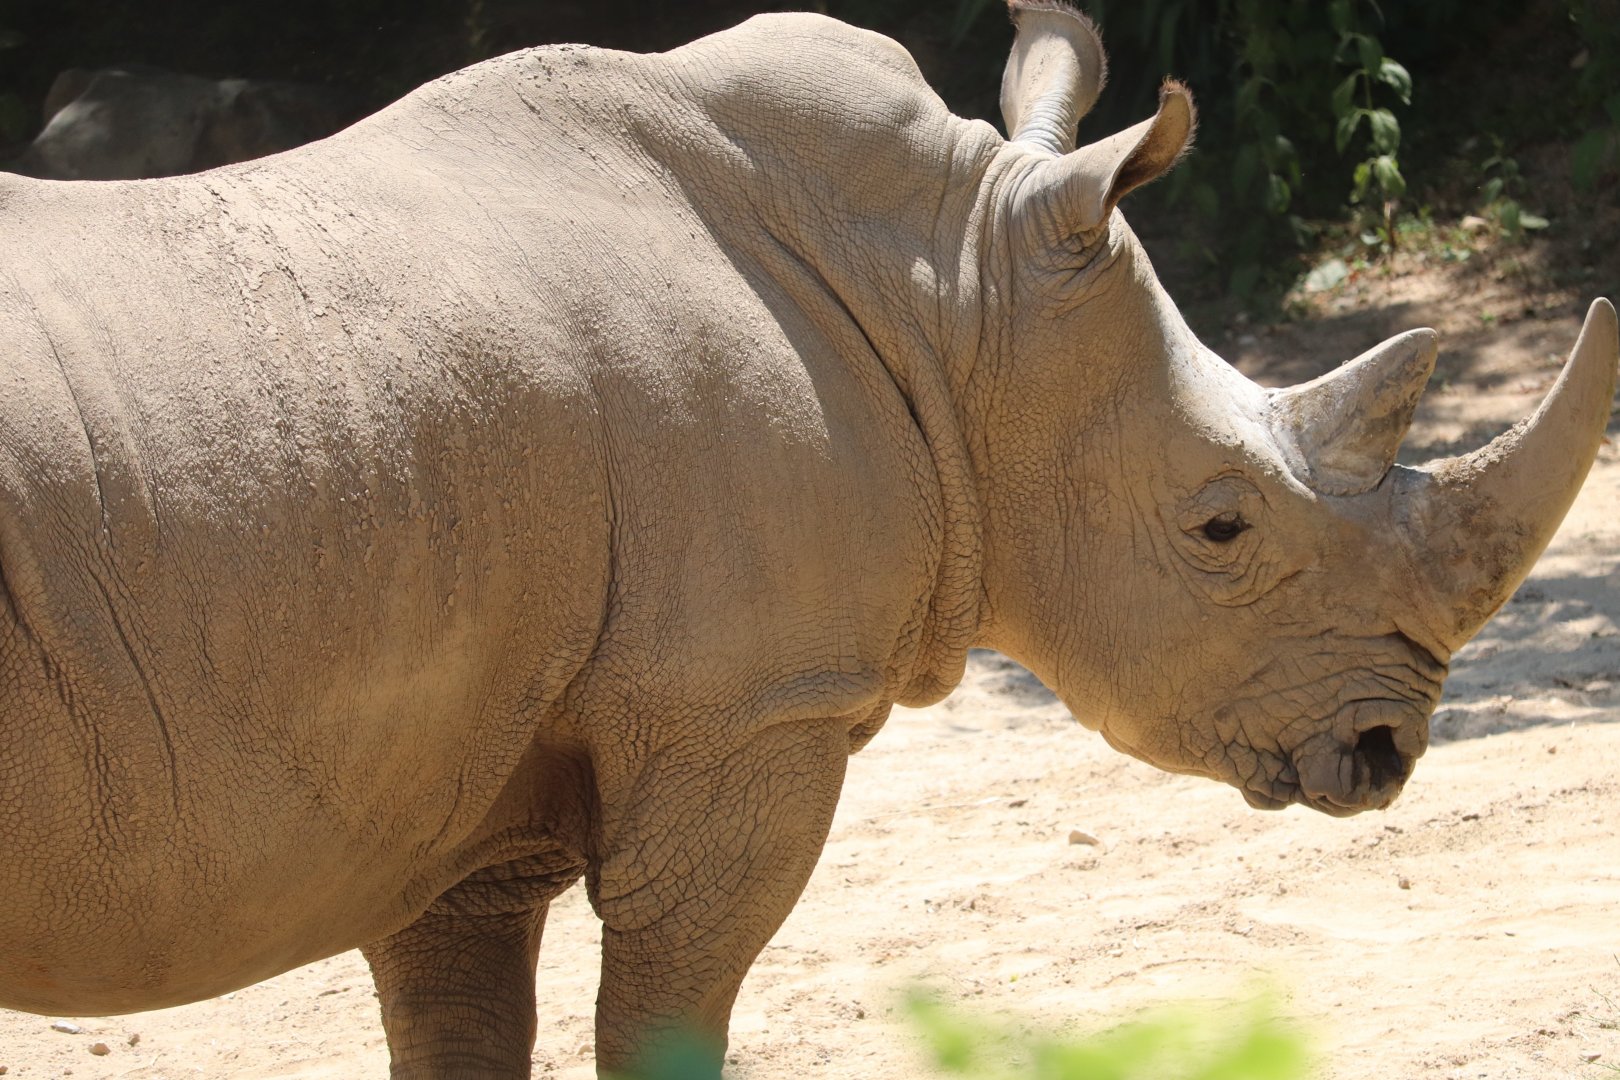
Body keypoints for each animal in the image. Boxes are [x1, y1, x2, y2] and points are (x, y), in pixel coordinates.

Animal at [0, 2, 1614, 1076]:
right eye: (1221, 527)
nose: (1386, 754)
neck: (952, 293)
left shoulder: (463, 766)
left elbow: (461, 1017)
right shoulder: (746, 709)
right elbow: (669, 1010)